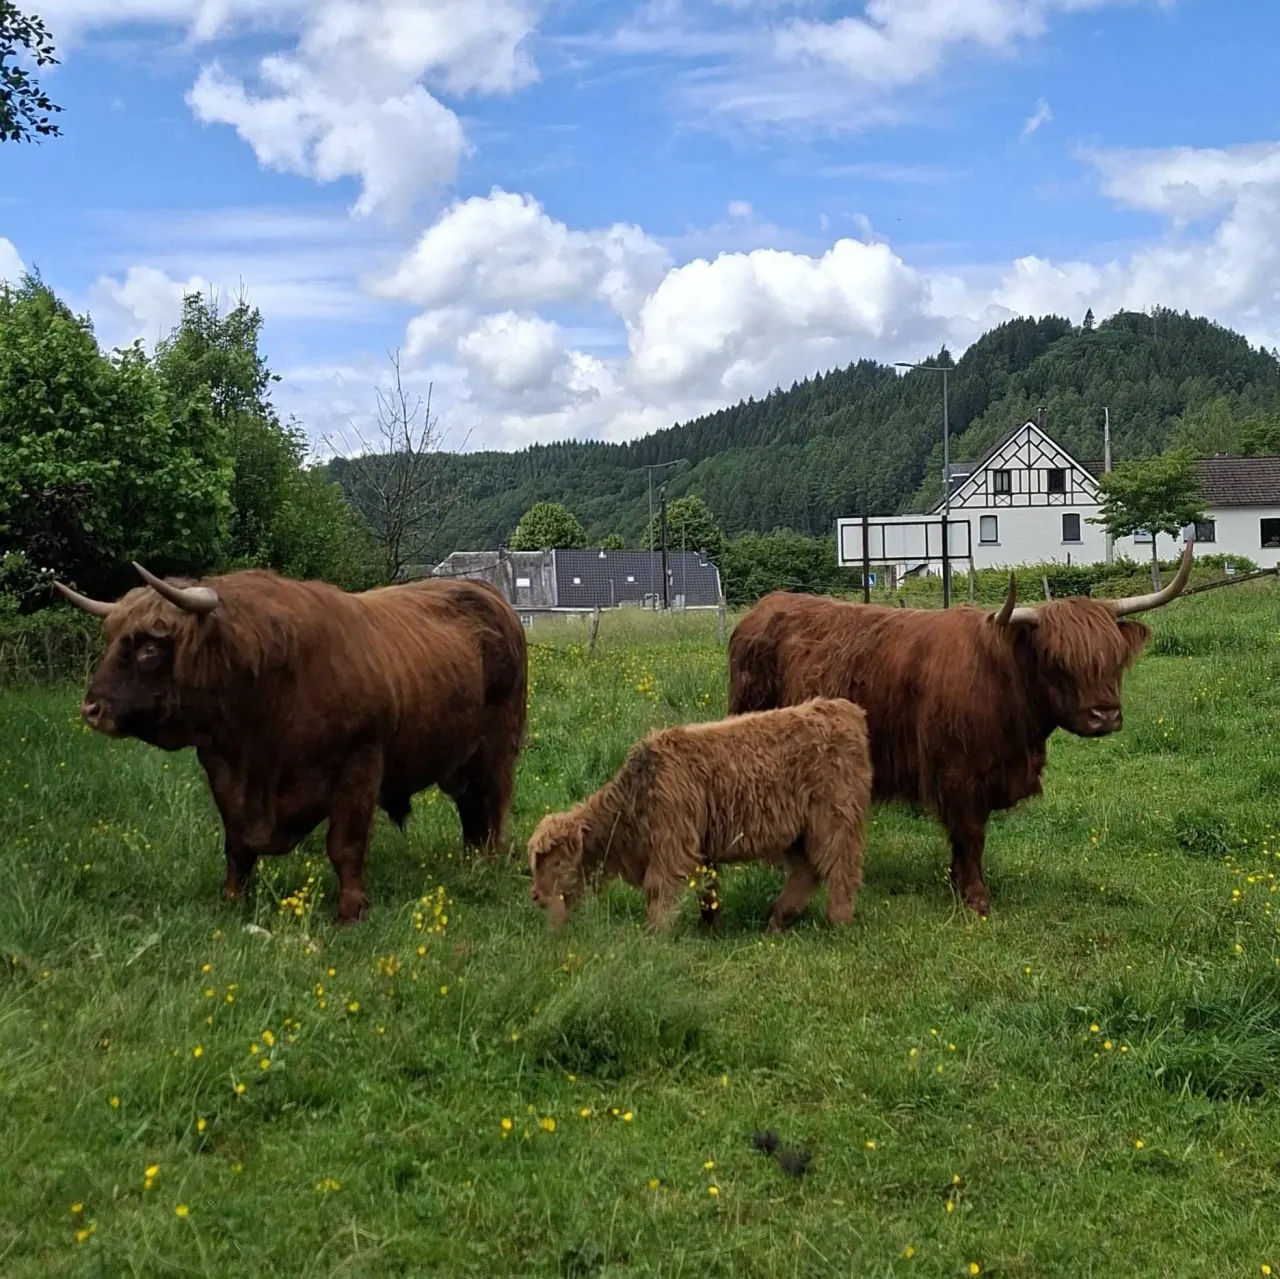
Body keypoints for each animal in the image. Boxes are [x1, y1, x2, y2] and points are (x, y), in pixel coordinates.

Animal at [56, 564, 527, 923]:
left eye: (150, 647)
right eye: (110, 638)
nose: (92, 708)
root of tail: (487, 594)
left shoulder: (359, 764)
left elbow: (344, 845)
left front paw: (350, 913)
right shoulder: (223, 771)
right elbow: (237, 845)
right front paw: (232, 901)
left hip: (496, 750)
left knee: (491, 806)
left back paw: (486, 865)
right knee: (471, 810)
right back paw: (470, 864)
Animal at [527, 698, 872, 934]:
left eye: (553, 860)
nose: (536, 896)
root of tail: (844, 709)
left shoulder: (672, 843)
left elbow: (659, 888)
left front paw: (654, 934)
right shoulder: (701, 845)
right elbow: (709, 890)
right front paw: (711, 927)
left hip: (833, 819)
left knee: (841, 868)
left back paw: (838, 922)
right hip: (798, 832)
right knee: (806, 871)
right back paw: (777, 919)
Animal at [727, 541, 1195, 916]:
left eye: (1114, 658)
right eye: (1057, 661)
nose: (1105, 715)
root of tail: (762, 609)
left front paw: (957, 884)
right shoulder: (958, 772)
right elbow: (970, 834)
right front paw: (975, 898)